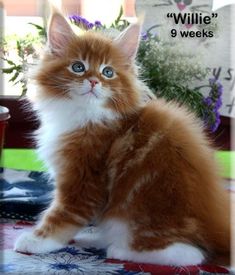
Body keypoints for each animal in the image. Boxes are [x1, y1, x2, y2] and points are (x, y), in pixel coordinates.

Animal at [13, 11, 230, 268]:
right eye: (78, 67)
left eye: (108, 72)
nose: (94, 81)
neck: (86, 114)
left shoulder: (84, 181)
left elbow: (62, 216)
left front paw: (35, 241)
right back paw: (95, 238)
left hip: (140, 213)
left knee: (191, 254)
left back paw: (119, 250)